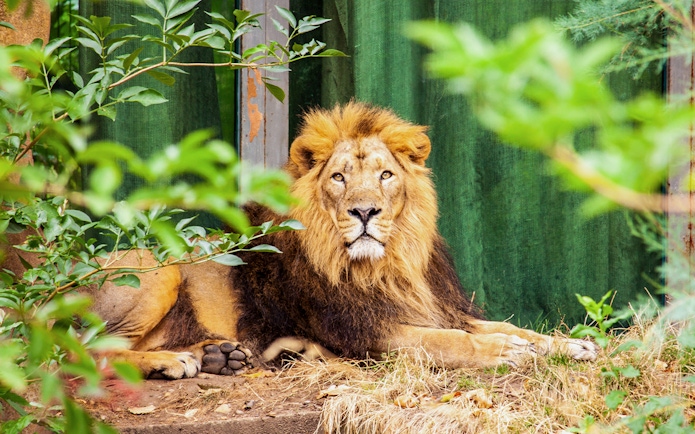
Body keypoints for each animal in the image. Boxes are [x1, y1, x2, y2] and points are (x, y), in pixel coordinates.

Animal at [67, 102, 598, 378]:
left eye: (385, 175)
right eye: (340, 178)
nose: (365, 212)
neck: (388, 265)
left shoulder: (436, 307)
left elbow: (508, 327)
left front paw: (570, 346)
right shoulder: (366, 332)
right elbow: (452, 342)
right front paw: (507, 354)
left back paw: (219, 356)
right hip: (152, 266)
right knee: (86, 352)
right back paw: (170, 362)